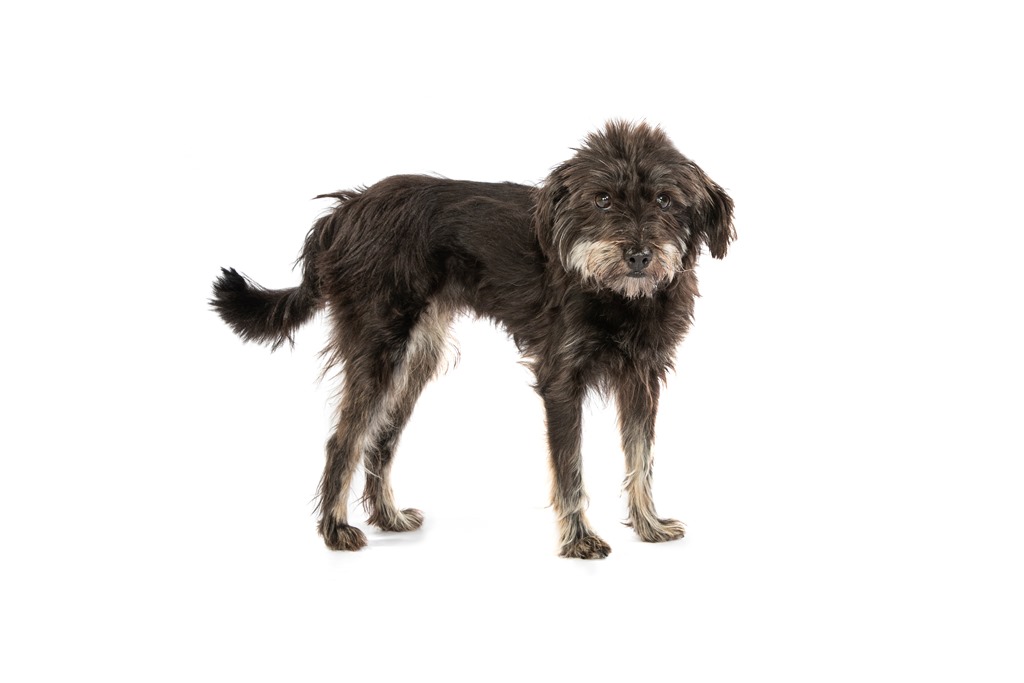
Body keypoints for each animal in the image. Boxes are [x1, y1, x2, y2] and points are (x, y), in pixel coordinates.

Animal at [211, 121, 734, 558]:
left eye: (665, 200)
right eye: (602, 199)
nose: (639, 255)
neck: (620, 294)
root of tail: (345, 210)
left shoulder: (643, 378)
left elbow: (640, 456)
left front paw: (648, 525)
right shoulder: (560, 380)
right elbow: (571, 468)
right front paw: (580, 538)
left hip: (415, 361)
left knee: (380, 439)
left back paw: (388, 516)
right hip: (378, 350)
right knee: (345, 439)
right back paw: (335, 529)